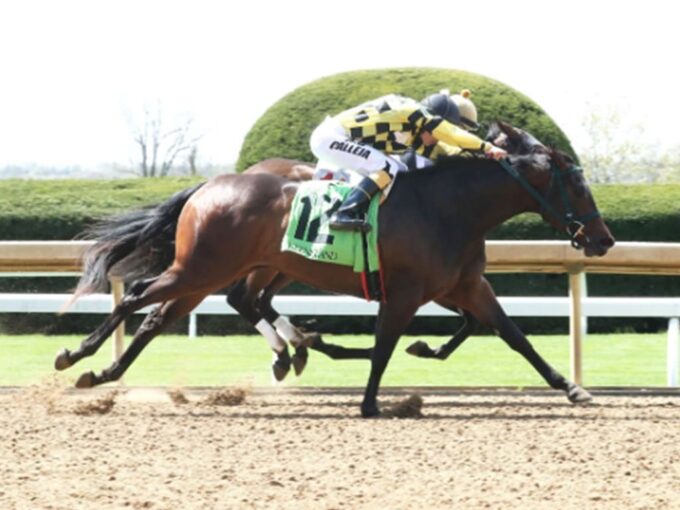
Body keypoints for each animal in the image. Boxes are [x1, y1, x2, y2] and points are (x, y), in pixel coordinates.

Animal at [55, 125, 612, 416]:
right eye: (577, 185)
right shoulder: (406, 292)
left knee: (161, 317)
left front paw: (572, 388)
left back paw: (102, 374)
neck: (449, 207)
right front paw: (369, 400)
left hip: (217, 271)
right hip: (203, 267)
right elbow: (385, 345)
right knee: (138, 297)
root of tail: (209, 186)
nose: (603, 239)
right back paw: (75, 357)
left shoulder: (466, 286)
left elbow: (512, 335)